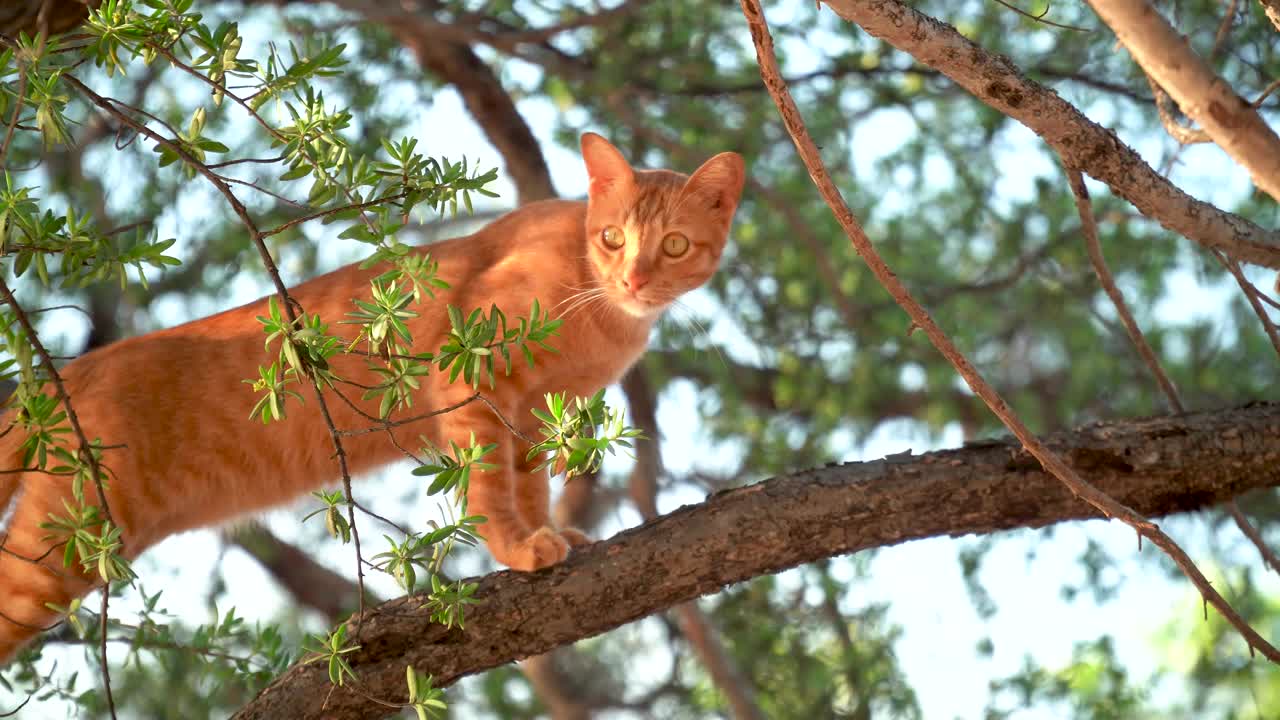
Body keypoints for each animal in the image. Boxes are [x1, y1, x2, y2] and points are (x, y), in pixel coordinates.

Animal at [0, 133, 747, 661]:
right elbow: (490, 488)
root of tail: (75, 370)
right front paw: (515, 546)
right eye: (613, 236)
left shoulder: (533, 417)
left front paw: (548, 532)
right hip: (57, 552)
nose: (634, 279)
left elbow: (529, 486)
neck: (599, 307)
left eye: (673, 245)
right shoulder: (470, 385)